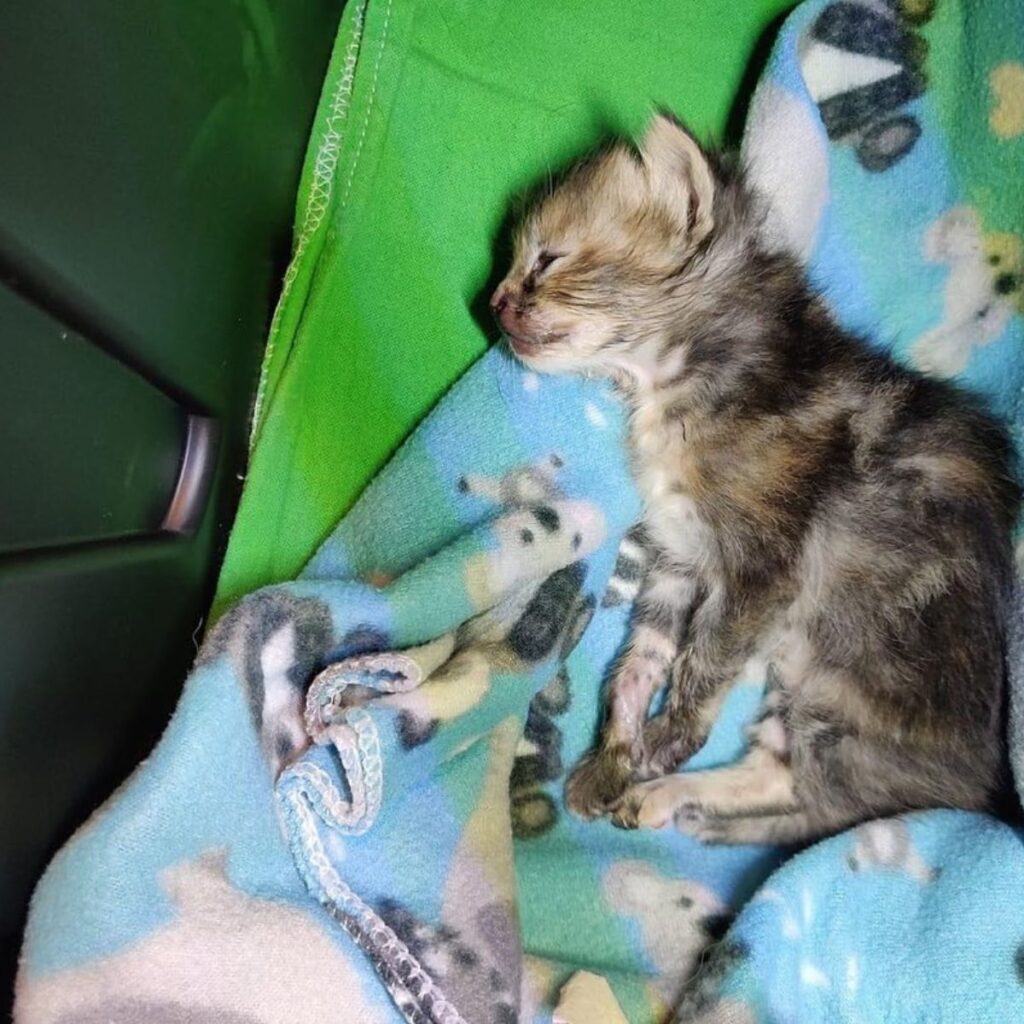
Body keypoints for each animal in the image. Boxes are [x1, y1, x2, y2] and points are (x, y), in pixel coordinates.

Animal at [487, 116, 1015, 843]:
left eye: (547, 260)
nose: (493, 303)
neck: (683, 375)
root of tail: (971, 789)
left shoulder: (762, 569)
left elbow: (703, 660)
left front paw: (659, 743)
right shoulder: (679, 551)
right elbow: (642, 655)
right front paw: (616, 756)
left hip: (838, 687)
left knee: (807, 786)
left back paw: (668, 794)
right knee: (779, 772)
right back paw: (666, 800)